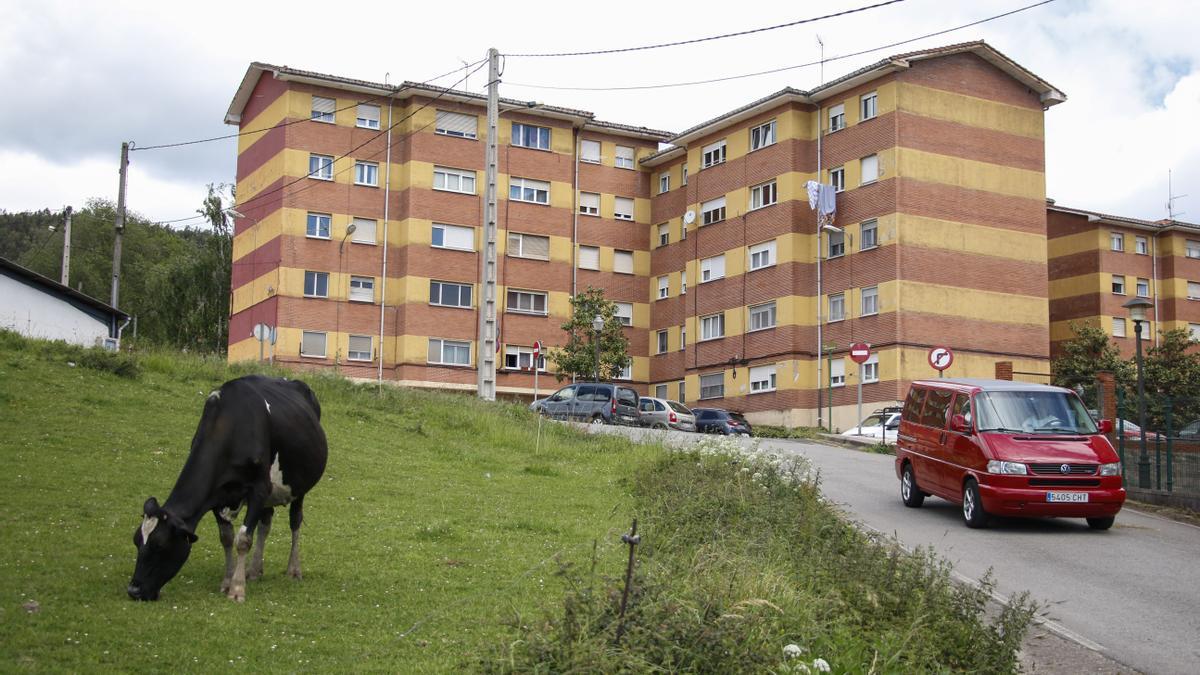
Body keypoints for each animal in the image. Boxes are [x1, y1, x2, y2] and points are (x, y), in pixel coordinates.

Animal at [126, 372, 328, 598]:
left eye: (160, 545)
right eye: (136, 541)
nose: (133, 590)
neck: (229, 426)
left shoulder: (259, 489)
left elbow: (243, 539)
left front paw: (237, 589)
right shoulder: (217, 494)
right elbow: (227, 537)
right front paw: (227, 581)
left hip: (298, 487)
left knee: (295, 521)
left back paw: (293, 569)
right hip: (271, 491)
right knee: (265, 524)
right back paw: (254, 570)